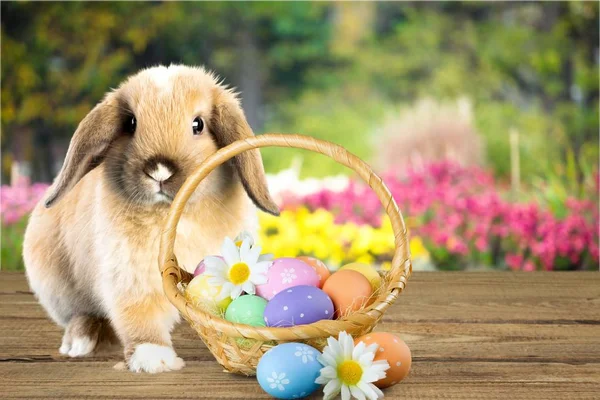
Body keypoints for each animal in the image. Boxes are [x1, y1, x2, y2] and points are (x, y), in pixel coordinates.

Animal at [21, 64, 278, 374]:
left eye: (198, 125)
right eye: (131, 123)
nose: (159, 170)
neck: (171, 212)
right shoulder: (129, 277)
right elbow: (140, 318)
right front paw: (155, 359)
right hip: (58, 289)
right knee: (82, 316)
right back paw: (81, 343)